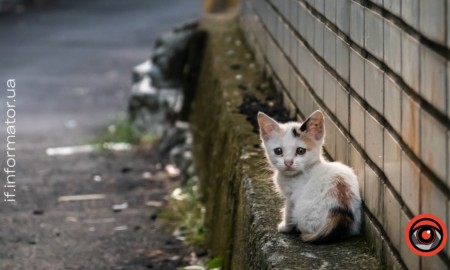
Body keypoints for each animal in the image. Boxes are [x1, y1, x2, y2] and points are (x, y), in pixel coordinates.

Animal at [258, 110, 360, 244]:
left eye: (301, 151)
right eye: (278, 151)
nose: (288, 162)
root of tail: (340, 214)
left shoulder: (292, 197)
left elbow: (288, 211)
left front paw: (285, 227)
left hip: (302, 211)